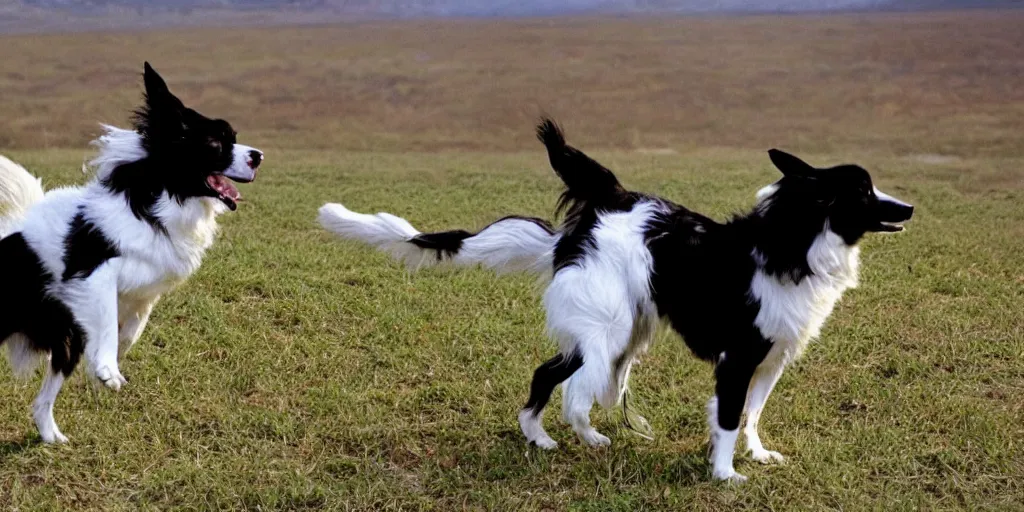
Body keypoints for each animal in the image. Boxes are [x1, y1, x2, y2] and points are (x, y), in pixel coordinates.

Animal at [0, 60, 264, 444]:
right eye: (215, 142)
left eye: (233, 136)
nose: (259, 156)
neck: (158, 203)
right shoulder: (94, 275)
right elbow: (109, 322)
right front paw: (107, 369)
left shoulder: (142, 293)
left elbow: (131, 331)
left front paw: (106, 366)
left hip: (64, 342)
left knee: (42, 400)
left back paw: (51, 436)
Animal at [317, 117, 913, 481]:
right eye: (863, 193)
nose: (908, 207)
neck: (793, 240)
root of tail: (596, 213)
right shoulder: (737, 359)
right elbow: (726, 417)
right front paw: (725, 476)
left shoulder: (772, 359)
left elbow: (751, 415)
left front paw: (758, 455)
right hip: (608, 329)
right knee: (572, 391)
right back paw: (580, 437)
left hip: (618, 332)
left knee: (551, 375)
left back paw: (542, 439)